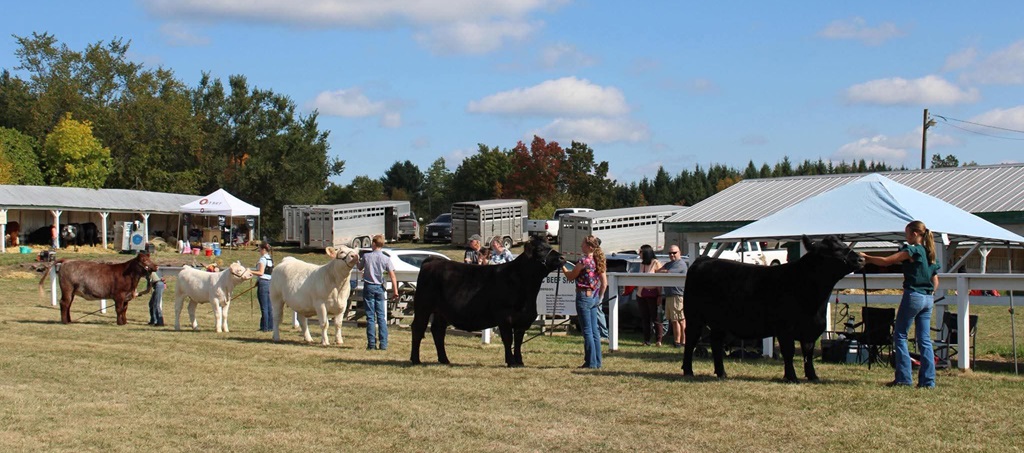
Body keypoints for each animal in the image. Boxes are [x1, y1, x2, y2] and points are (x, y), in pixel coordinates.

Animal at [410, 236, 564, 367]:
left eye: (549, 246)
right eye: (540, 249)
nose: (562, 257)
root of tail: (434, 260)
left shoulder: (522, 319)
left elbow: (518, 341)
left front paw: (520, 362)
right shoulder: (505, 317)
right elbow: (508, 340)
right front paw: (510, 361)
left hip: (441, 312)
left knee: (438, 331)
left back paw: (444, 360)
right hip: (423, 306)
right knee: (418, 328)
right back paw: (416, 359)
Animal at [681, 235, 864, 382]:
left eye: (843, 243)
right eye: (833, 249)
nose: (861, 259)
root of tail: (703, 260)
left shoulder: (810, 330)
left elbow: (808, 354)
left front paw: (813, 376)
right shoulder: (785, 329)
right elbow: (789, 353)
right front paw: (791, 377)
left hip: (719, 323)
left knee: (716, 343)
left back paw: (722, 373)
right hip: (694, 316)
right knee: (691, 340)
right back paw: (688, 371)